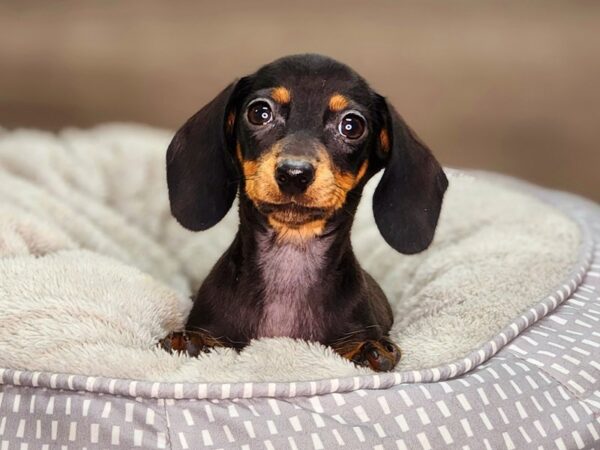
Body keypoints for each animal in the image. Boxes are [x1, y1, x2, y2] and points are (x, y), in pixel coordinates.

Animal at [159, 54, 446, 370]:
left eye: (352, 126)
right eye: (259, 112)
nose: (294, 174)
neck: (290, 258)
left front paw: (369, 351)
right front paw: (188, 342)